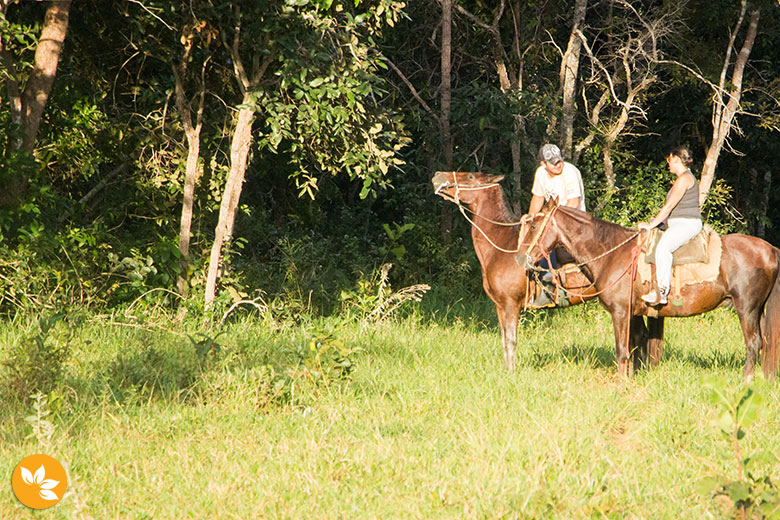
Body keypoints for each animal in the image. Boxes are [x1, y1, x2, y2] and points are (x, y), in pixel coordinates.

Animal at [432, 173, 644, 372]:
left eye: (469, 176)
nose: (437, 176)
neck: (501, 246)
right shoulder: (500, 306)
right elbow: (504, 341)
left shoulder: (510, 304)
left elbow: (511, 340)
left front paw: (511, 373)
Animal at [516, 199, 780, 378]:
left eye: (534, 227)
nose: (520, 258)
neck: (613, 253)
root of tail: (770, 249)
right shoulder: (634, 313)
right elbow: (637, 343)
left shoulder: (621, 312)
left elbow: (622, 349)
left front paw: (622, 383)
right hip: (758, 309)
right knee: (764, 342)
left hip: (746, 308)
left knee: (754, 343)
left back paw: (746, 380)